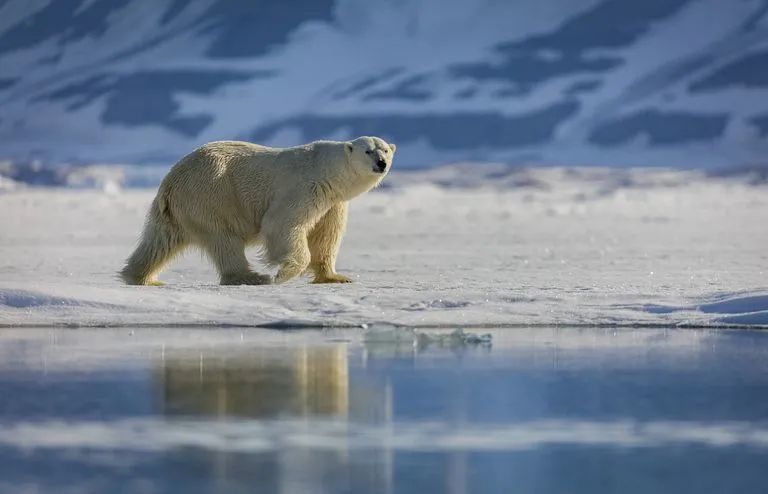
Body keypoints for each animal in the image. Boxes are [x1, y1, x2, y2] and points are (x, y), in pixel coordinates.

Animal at [121, 137, 396, 288]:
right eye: (368, 150)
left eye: (385, 149)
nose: (381, 163)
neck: (329, 169)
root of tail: (170, 180)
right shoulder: (306, 186)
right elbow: (282, 223)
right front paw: (283, 273)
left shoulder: (333, 201)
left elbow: (326, 236)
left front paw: (336, 277)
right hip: (211, 195)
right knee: (224, 239)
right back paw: (252, 276)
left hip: (177, 209)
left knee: (159, 241)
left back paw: (141, 277)